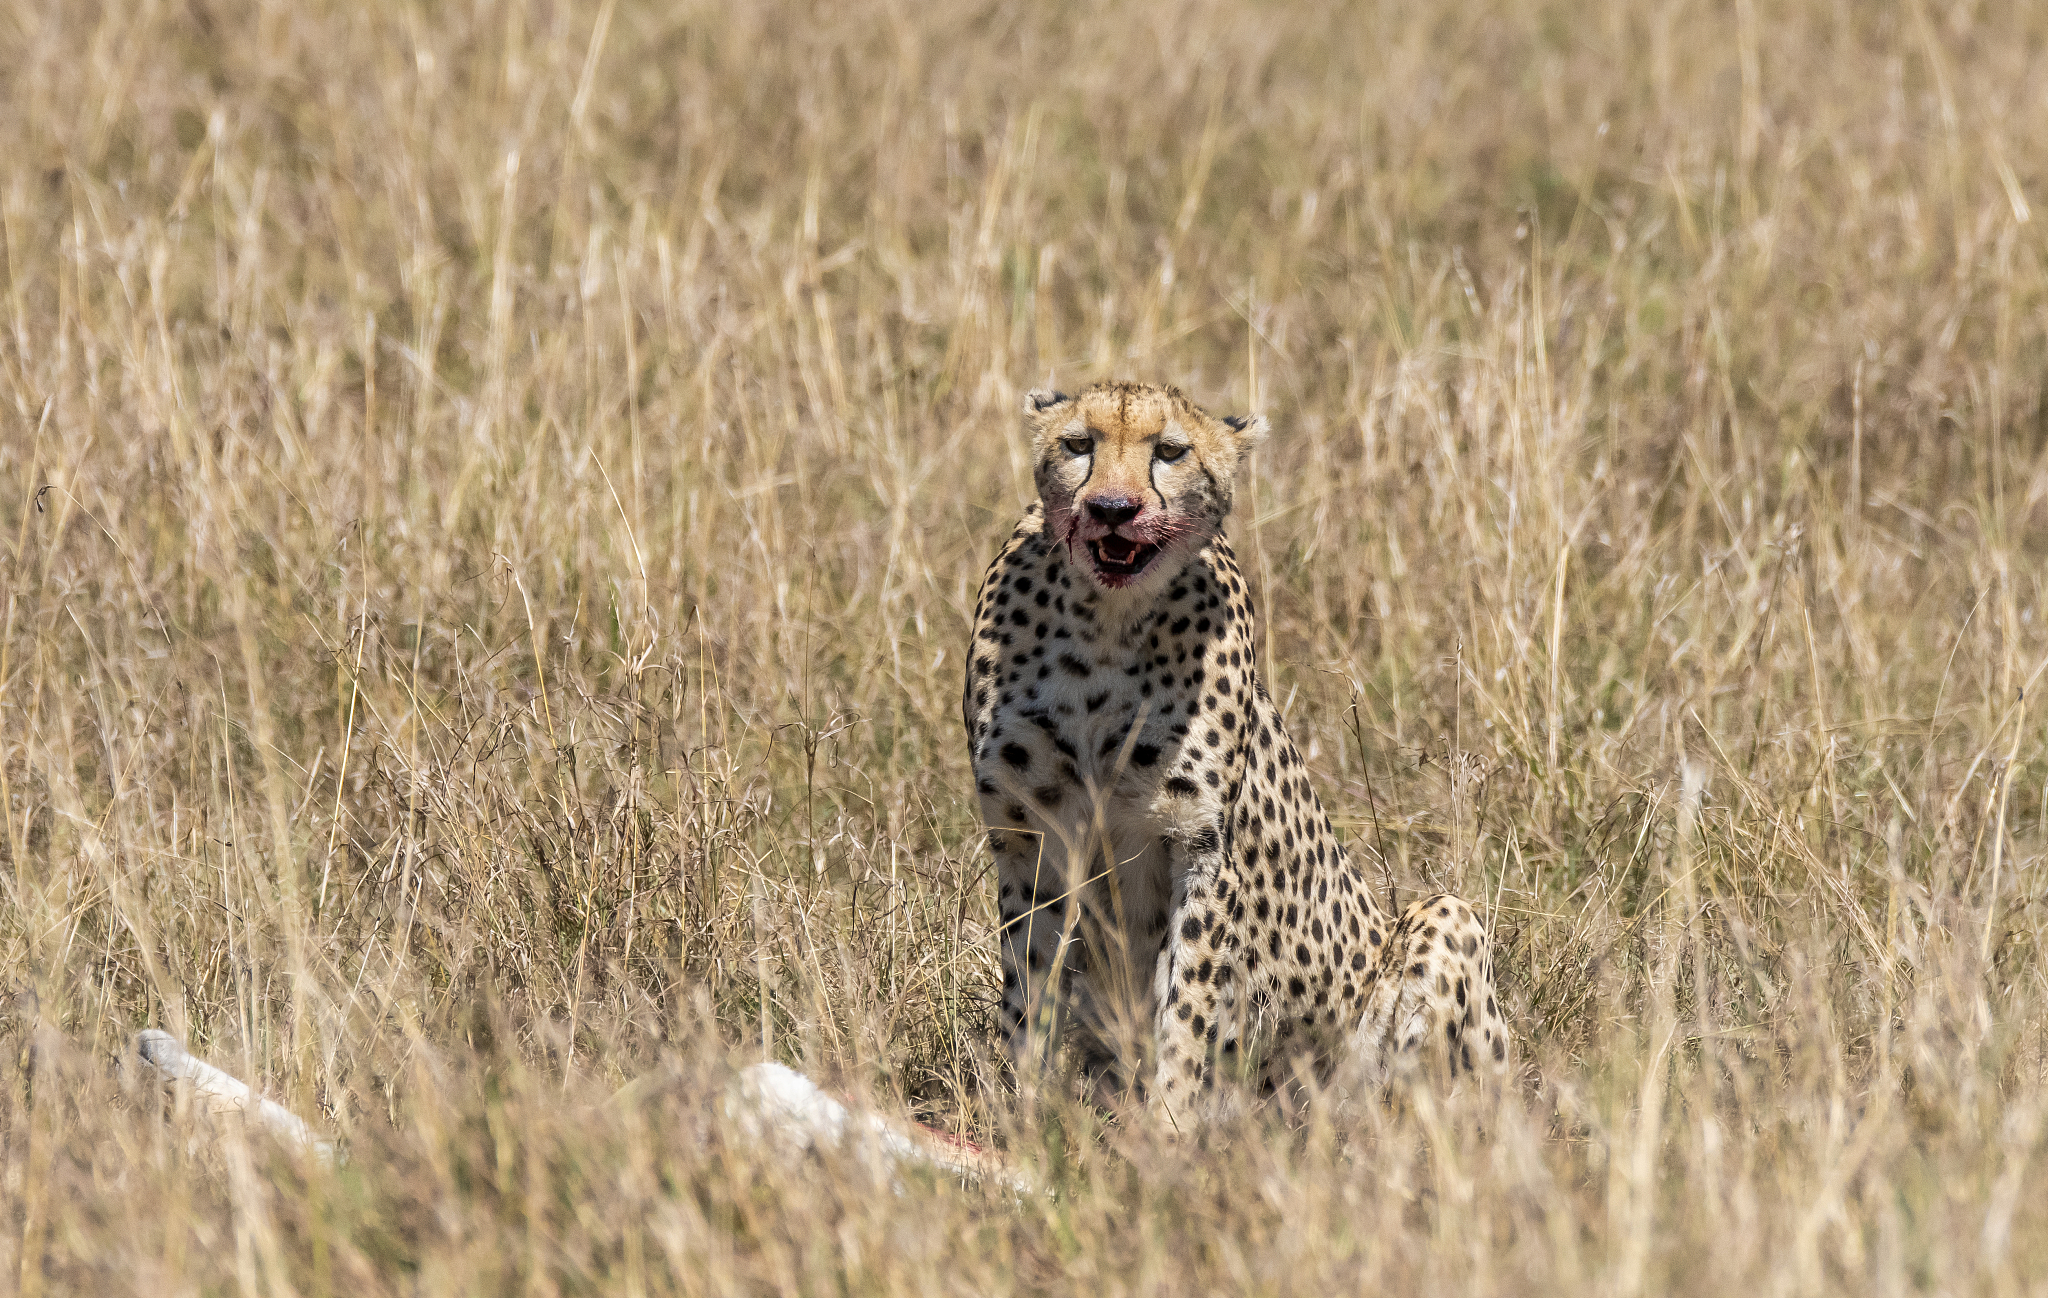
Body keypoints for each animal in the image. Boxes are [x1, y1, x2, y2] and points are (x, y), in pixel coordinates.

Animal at [963, 380, 1509, 1127]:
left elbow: (1187, 1006)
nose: (1113, 509)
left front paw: (1169, 1127)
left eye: (1170, 452)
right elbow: (1030, 990)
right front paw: (1025, 1119)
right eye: (1078, 444)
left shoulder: (1198, 844)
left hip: (1440, 931)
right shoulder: (1028, 837)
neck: (1105, 624)